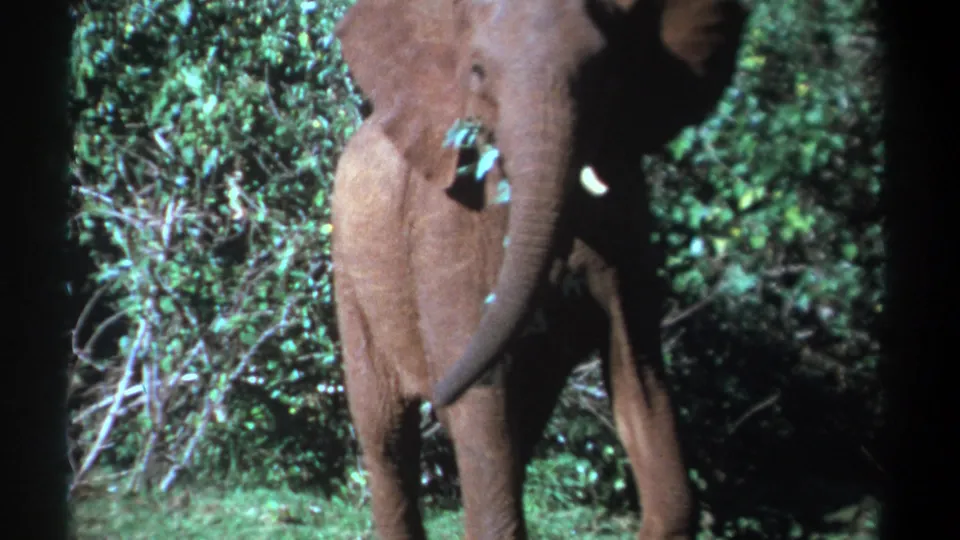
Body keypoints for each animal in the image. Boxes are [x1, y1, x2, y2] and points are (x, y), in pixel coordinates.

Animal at [330, 0, 747, 538]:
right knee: (386, 432)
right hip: (350, 270)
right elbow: (479, 396)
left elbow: (638, 374)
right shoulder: (447, 226)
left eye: (604, 71)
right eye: (478, 71)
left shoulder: (627, 224)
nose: (436, 392)